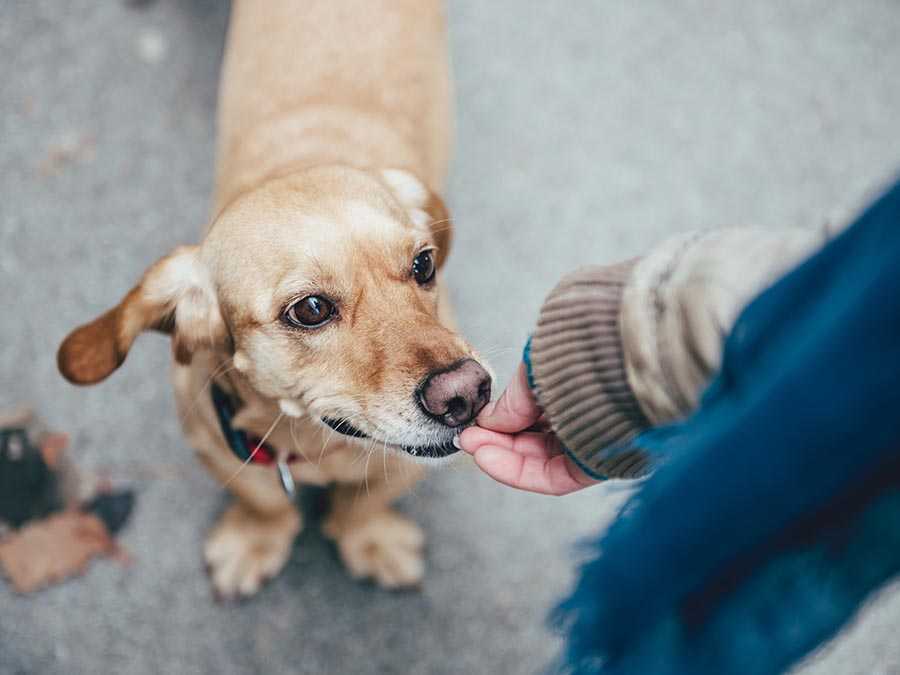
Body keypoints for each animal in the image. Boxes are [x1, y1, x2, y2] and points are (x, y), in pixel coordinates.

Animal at [58, 2, 492, 600]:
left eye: (423, 264)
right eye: (310, 310)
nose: (467, 394)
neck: (313, 444)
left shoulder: (406, 465)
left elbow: (367, 497)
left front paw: (369, 538)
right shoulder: (215, 441)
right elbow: (263, 500)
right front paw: (256, 537)